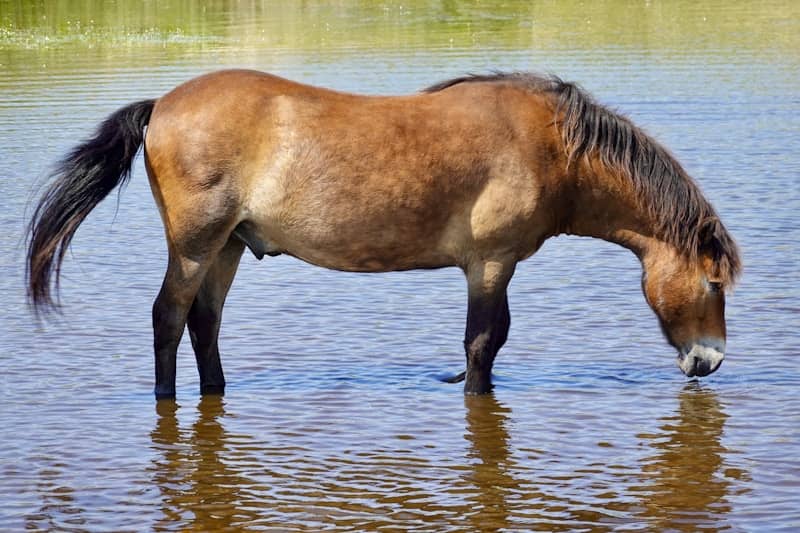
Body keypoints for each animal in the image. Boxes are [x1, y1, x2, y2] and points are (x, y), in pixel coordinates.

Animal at [26, 70, 741, 399]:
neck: (554, 149)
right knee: (169, 318)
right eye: (712, 283)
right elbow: (483, 342)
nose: (708, 361)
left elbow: (492, 343)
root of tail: (163, 105)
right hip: (196, 245)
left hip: (227, 245)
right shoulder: (490, 262)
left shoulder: (496, 264)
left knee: (204, 323)